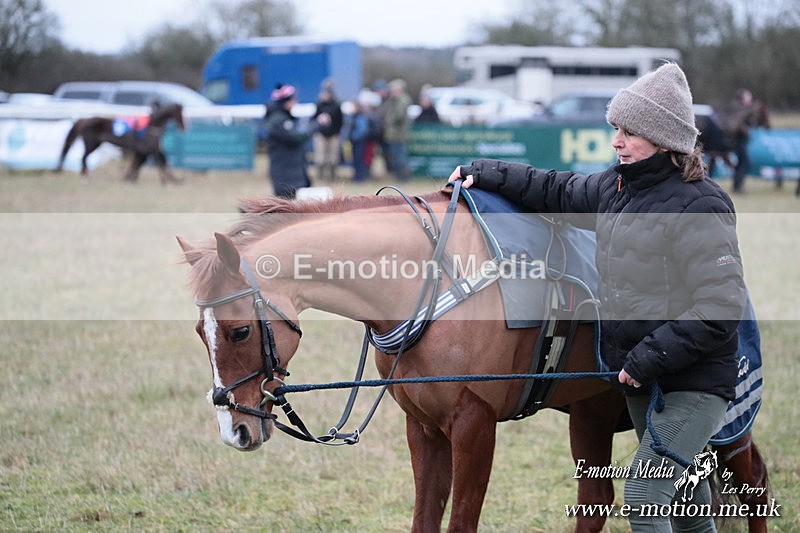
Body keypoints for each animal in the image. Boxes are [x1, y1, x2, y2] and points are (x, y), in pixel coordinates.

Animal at [55, 101, 185, 184]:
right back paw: (85, 178)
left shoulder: (145, 150)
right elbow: (157, 163)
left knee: (84, 158)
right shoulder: (150, 149)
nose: (184, 127)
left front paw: (129, 179)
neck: (152, 125)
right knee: (83, 158)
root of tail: (83, 120)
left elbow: (138, 164)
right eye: (179, 114)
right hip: (91, 144)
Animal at [177, 188, 769, 532]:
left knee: (753, 480)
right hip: (594, 412)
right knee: (597, 497)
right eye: (200, 333)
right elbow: (425, 518)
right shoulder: (424, 427)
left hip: (724, 421)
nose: (235, 429)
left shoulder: (473, 424)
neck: (431, 279)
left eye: (238, 330)